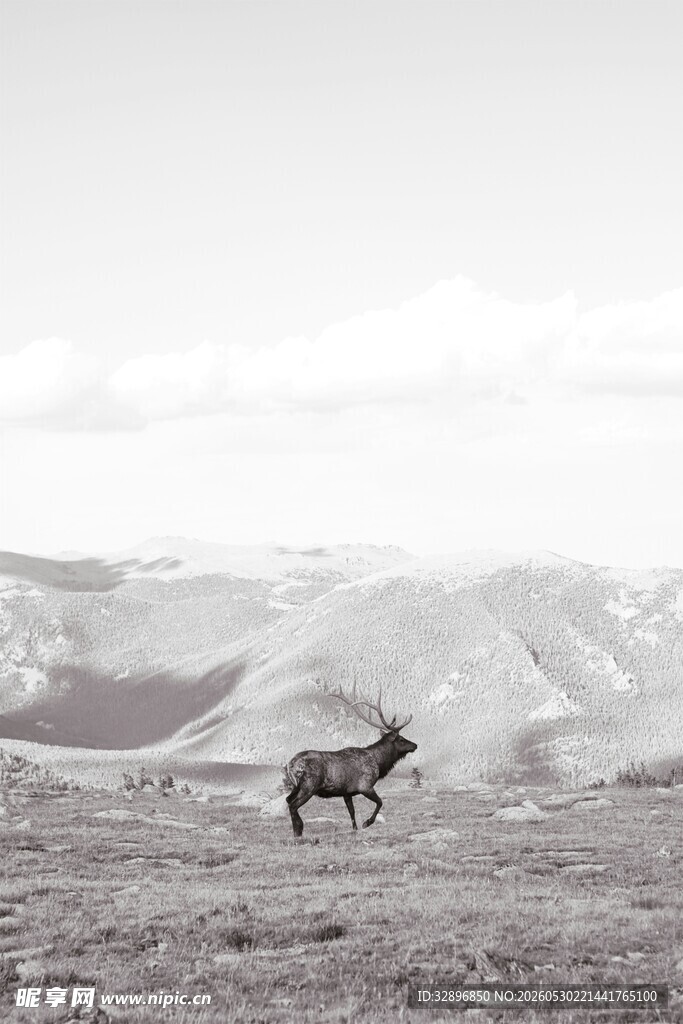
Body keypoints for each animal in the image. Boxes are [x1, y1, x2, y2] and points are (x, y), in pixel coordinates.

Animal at [283, 685, 417, 837]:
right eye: (401, 739)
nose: (415, 745)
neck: (379, 763)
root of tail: (290, 765)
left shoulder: (346, 792)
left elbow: (351, 812)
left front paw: (355, 829)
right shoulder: (365, 786)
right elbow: (380, 802)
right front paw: (367, 822)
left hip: (296, 786)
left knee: (288, 800)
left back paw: (296, 831)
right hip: (309, 786)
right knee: (293, 805)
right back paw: (299, 830)